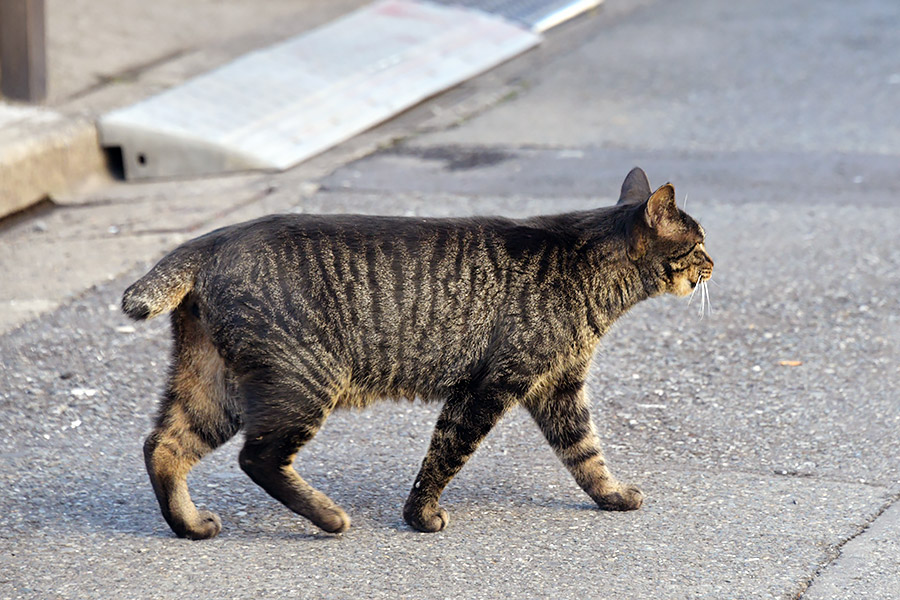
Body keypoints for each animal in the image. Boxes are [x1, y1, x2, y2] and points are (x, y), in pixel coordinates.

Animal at [121, 166, 712, 536]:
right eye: (698, 243)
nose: (713, 264)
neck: (590, 274)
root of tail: (213, 239)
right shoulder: (489, 387)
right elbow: (444, 456)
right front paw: (421, 516)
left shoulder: (559, 389)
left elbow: (586, 454)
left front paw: (611, 495)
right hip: (304, 382)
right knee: (256, 456)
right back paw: (328, 518)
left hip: (214, 387)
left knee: (163, 445)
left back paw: (190, 526)